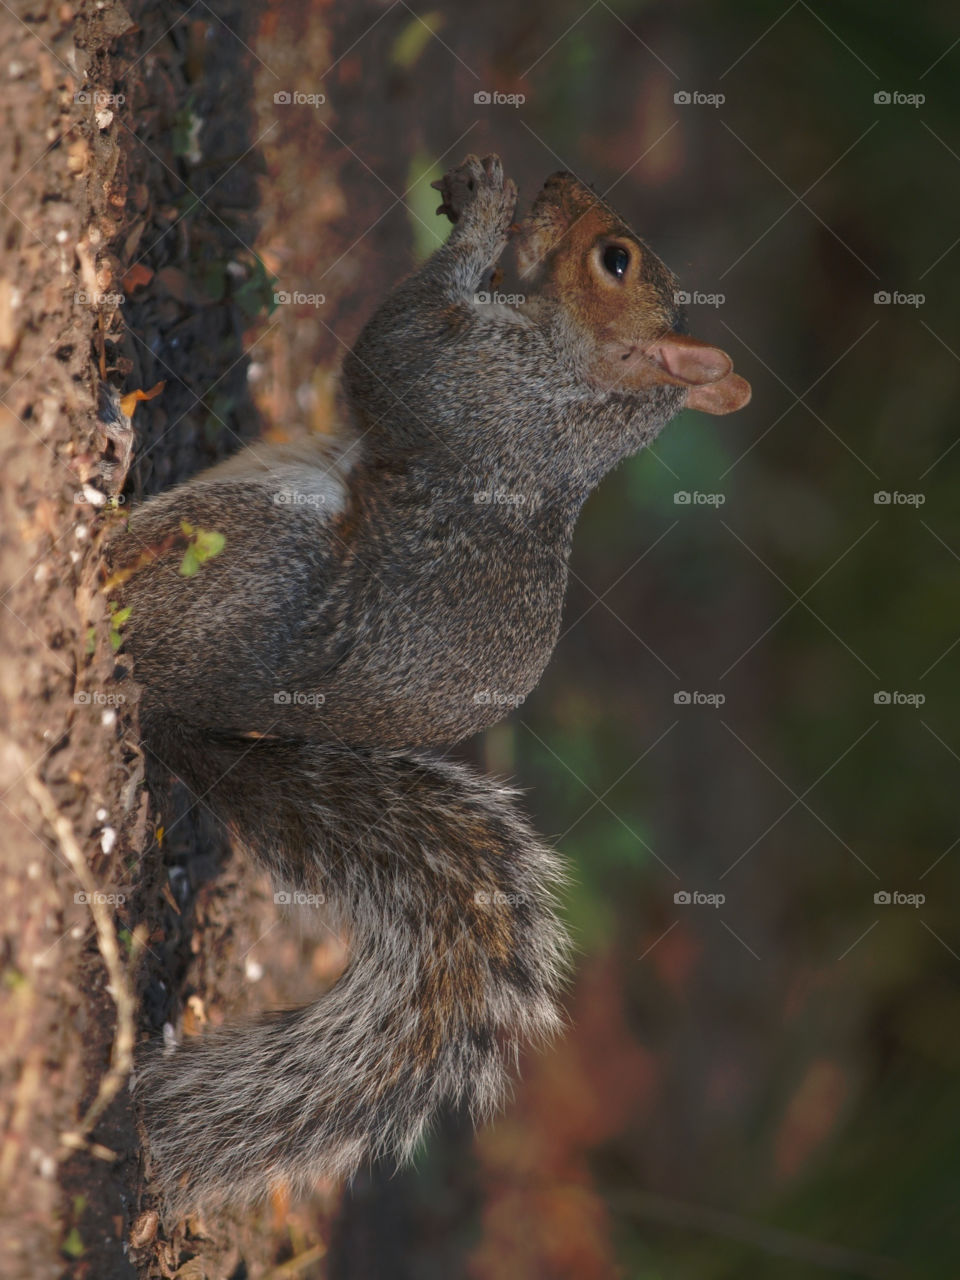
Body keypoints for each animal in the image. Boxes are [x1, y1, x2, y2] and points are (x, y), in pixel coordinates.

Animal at [111, 154, 751, 1219]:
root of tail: (184, 713)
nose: (559, 178)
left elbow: (389, 350)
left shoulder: (472, 387)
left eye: (613, 260)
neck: (573, 385)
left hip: (252, 550)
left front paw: (483, 219)